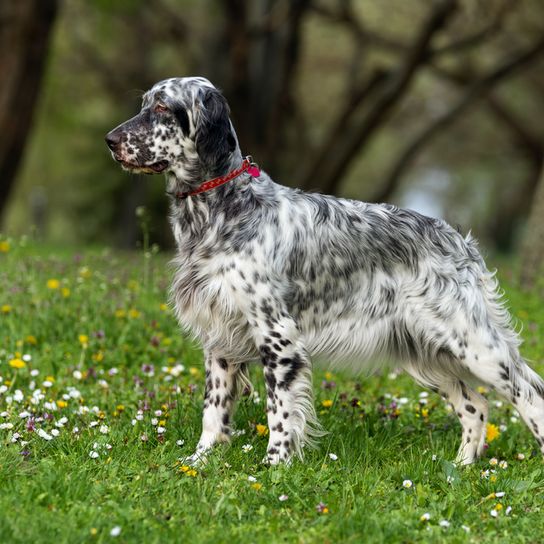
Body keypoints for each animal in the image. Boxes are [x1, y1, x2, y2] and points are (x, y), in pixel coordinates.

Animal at [106, 76, 544, 466]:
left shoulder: (278, 338)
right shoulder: (220, 341)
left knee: (529, 394)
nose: (110, 140)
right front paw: (199, 461)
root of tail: (459, 240)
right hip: (426, 352)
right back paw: (462, 467)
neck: (224, 208)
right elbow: (213, 413)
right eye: (143, 104)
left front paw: (274, 467)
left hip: (474, 345)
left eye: (163, 108)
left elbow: (280, 413)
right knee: (476, 406)